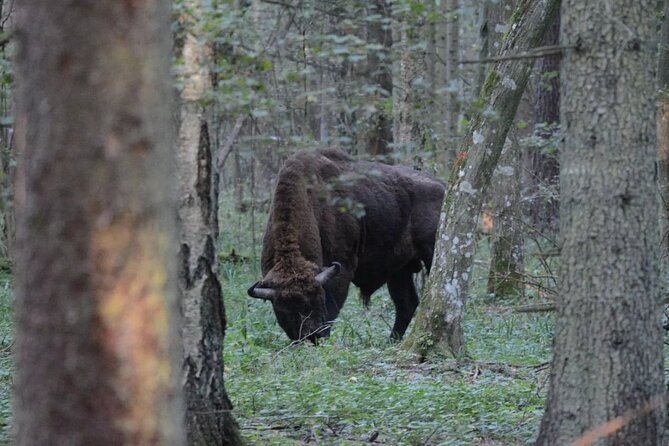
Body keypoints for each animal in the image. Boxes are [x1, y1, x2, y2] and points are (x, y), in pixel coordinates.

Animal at [245, 149, 444, 342]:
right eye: (284, 309)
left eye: (318, 300)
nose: (312, 334)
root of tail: (442, 186)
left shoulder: (340, 271)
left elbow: (332, 310)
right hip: (399, 269)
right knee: (406, 304)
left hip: (429, 254)